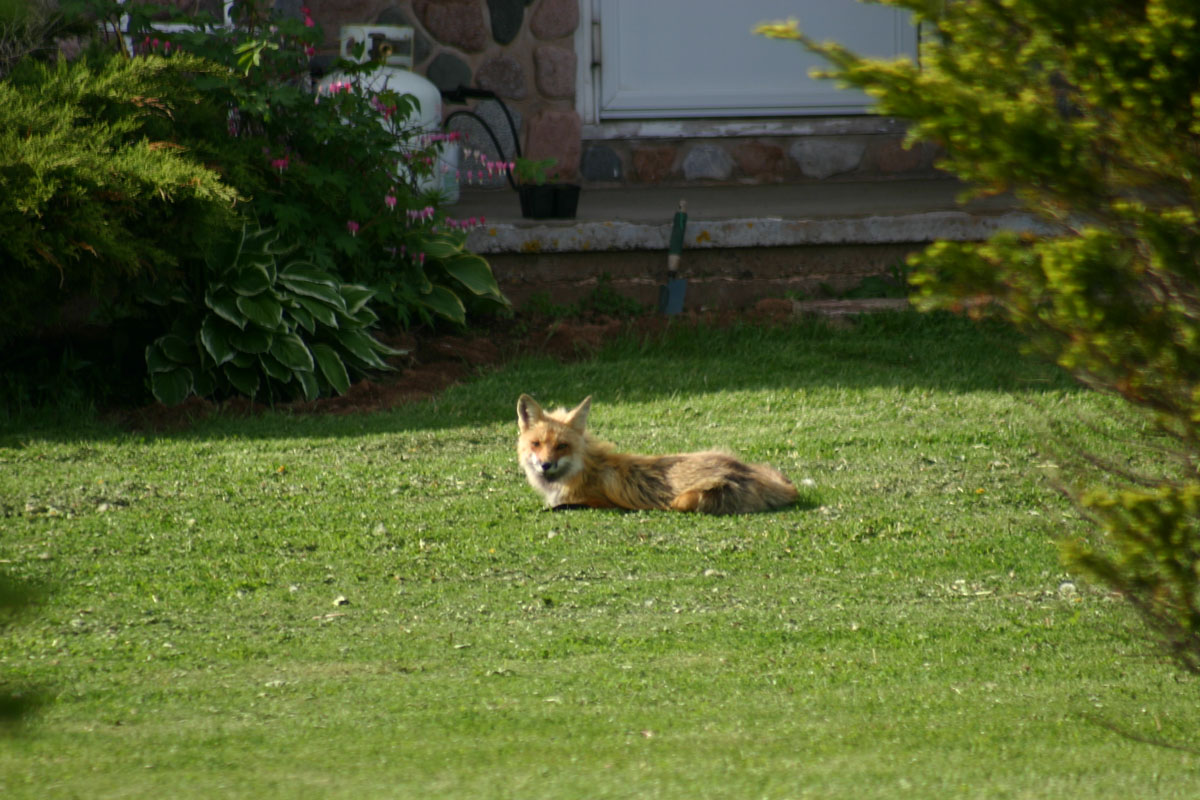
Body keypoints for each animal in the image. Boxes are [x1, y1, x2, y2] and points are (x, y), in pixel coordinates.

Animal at [516, 394, 798, 515]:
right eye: (537, 444)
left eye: (562, 446)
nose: (545, 465)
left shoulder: (599, 502)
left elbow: (559, 507)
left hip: (685, 500)